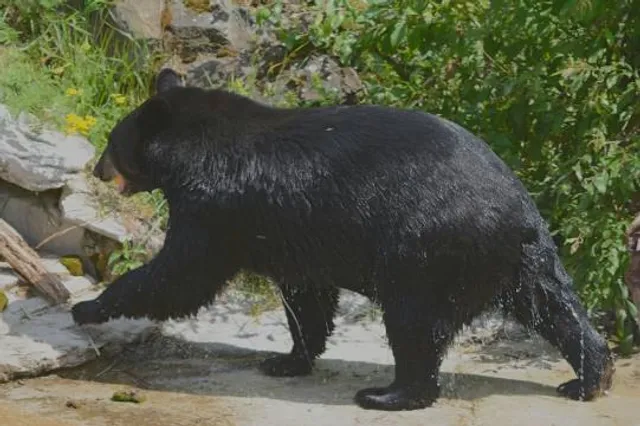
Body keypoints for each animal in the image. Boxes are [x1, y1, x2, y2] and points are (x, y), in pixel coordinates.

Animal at [71, 68, 614, 411]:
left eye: (112, 142)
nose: (95, 169)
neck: (189, 149)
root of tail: (516, 214)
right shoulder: (291, 230)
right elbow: (306, 297)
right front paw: (286, 360)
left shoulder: (216, 205)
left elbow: (184, 273)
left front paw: (89, 306)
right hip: (524, 262)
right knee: (557, 311)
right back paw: (588, 378)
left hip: (427, 252)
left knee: (414, 324)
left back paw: (389, 395)